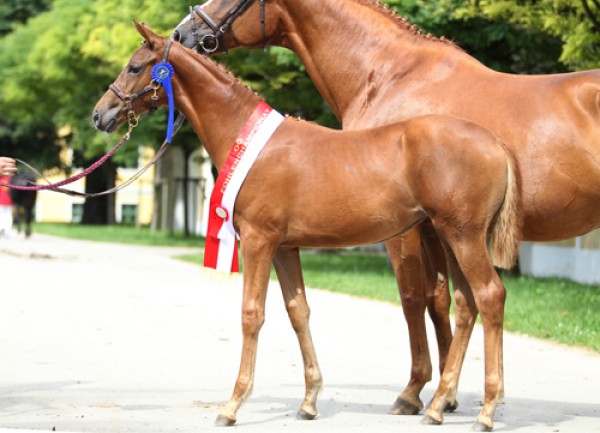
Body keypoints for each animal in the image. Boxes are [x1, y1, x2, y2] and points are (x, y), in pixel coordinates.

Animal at [94, 22, 520, 428]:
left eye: (135, 67)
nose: (100, 114)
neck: (254, 145)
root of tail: (495, 143)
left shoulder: (257, 241)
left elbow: (252, 314)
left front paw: (232, 405)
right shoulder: (285, 247)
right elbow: (298, 311)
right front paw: (309, 401)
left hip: (463, 237)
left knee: (490, 296)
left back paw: (485, 410)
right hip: (451, 238)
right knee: (467, 305)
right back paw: (437, 406)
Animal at [172, 0, 600, 426]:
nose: (182, 34)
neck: (388, 74)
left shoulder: (404, 230)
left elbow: (414, 299)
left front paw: (416, 392)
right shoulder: (432, 229)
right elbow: (445, 300)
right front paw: (446, 395)